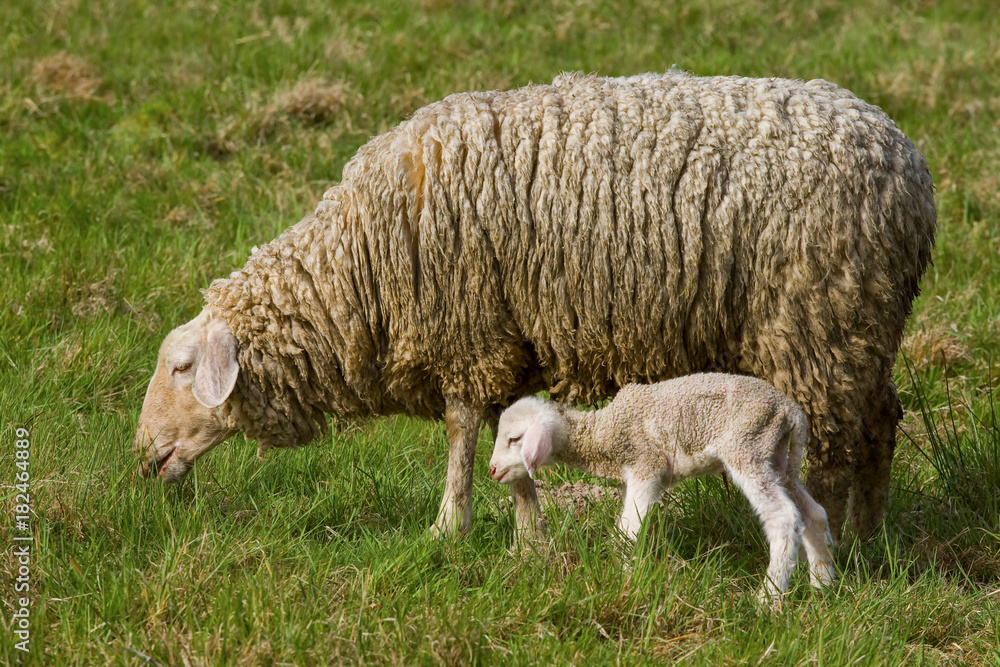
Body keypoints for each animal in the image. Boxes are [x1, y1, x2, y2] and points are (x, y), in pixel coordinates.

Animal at [133, 71, 935, 543]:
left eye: (180, 368)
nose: (142, 459)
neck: (358, 270)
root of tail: (909, 170)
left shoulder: (465, 329)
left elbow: (461, 434)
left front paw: (448, 528)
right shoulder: (503, 338)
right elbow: (504, 435)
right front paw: (527, 536)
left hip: (815, 323)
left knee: (826, 454)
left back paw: (831, 546)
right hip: (861, 325)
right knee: (882, 423)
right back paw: (870, 540)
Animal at [488, 373, 837, 604]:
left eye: (514, 439)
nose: (491, 470)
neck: (602, 433)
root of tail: (791, 409)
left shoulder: (646, 465)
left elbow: (628, 531)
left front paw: (621, 581)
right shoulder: (636, 475)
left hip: (746, 445)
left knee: (784, 517)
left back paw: (768, 599)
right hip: (775, 455)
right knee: (814, 513)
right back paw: (823, 585)